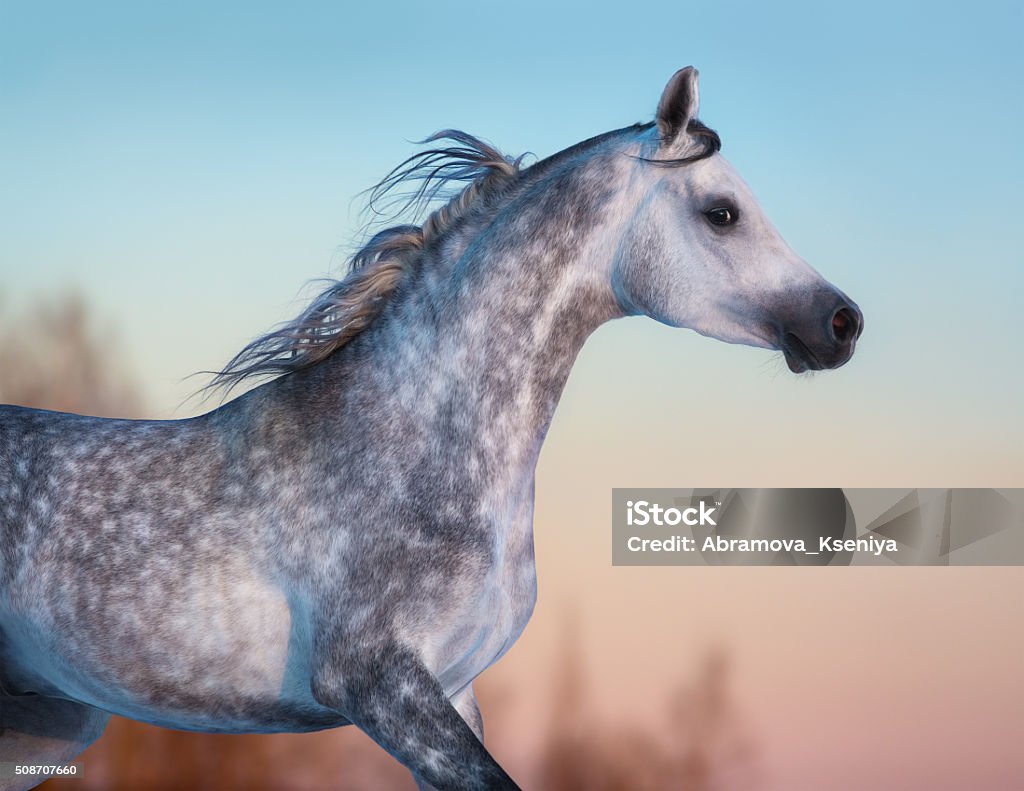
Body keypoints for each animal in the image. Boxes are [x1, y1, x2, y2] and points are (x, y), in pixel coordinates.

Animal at [0, 69, 864, 790]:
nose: (842, 321)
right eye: (722, 213)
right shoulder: (378, 684)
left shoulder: (452, 687)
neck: (408, 446)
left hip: (42, 727)